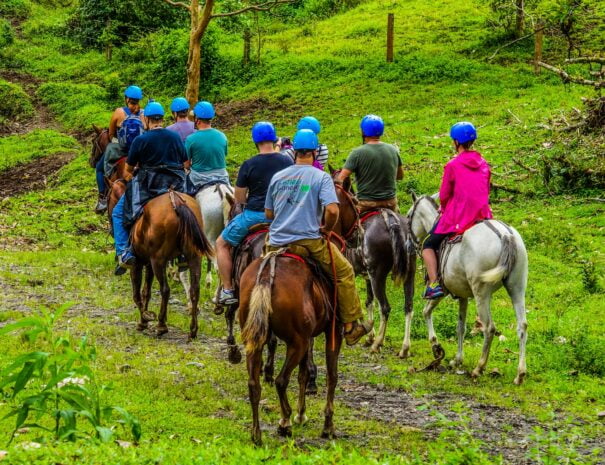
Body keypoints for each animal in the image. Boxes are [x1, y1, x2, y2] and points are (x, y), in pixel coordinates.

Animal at [237, 248, 340, 444]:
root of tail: (266, 274)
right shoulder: (334, 332)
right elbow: (332, 376)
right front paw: (327, 426)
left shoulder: (308, 337)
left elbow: (303, 375)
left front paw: (301, 415)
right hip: (297, 342)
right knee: (281, 380)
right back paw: (285, 422)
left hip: (254, 339)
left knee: (254, 384)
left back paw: (256, 434)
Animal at [406, 193, 528, 384]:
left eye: (408, 216)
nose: (409, 245)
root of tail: (504, 235)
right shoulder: (462, 295)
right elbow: (460, 327)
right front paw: (457, 360)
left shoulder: (441, 290)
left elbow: (426, 311)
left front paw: (436, 346)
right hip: (517, 287)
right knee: (522, 325)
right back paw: (520, 374)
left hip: (481, 293)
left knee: (489, 328)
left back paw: (479, 368)